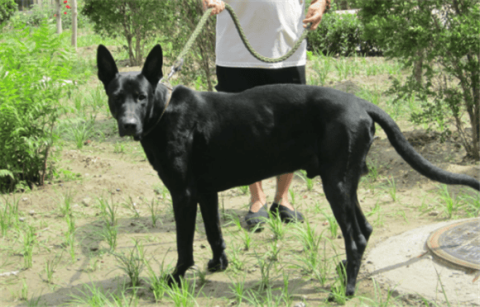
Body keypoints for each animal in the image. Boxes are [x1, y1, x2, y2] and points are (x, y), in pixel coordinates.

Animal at [95, 44, 478, 298]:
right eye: (116, 96)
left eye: (141, 97)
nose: (128, 125)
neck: (164, 111)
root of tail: (362, 104)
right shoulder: (206, 192)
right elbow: (214, 233)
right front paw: (219, 264)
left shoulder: (183, 194)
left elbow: (184, 245)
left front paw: (174, 279)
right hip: (345, 182)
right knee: (365, 229)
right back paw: (344, 271)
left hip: (335, 185)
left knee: (355, 237)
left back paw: (347, 289)